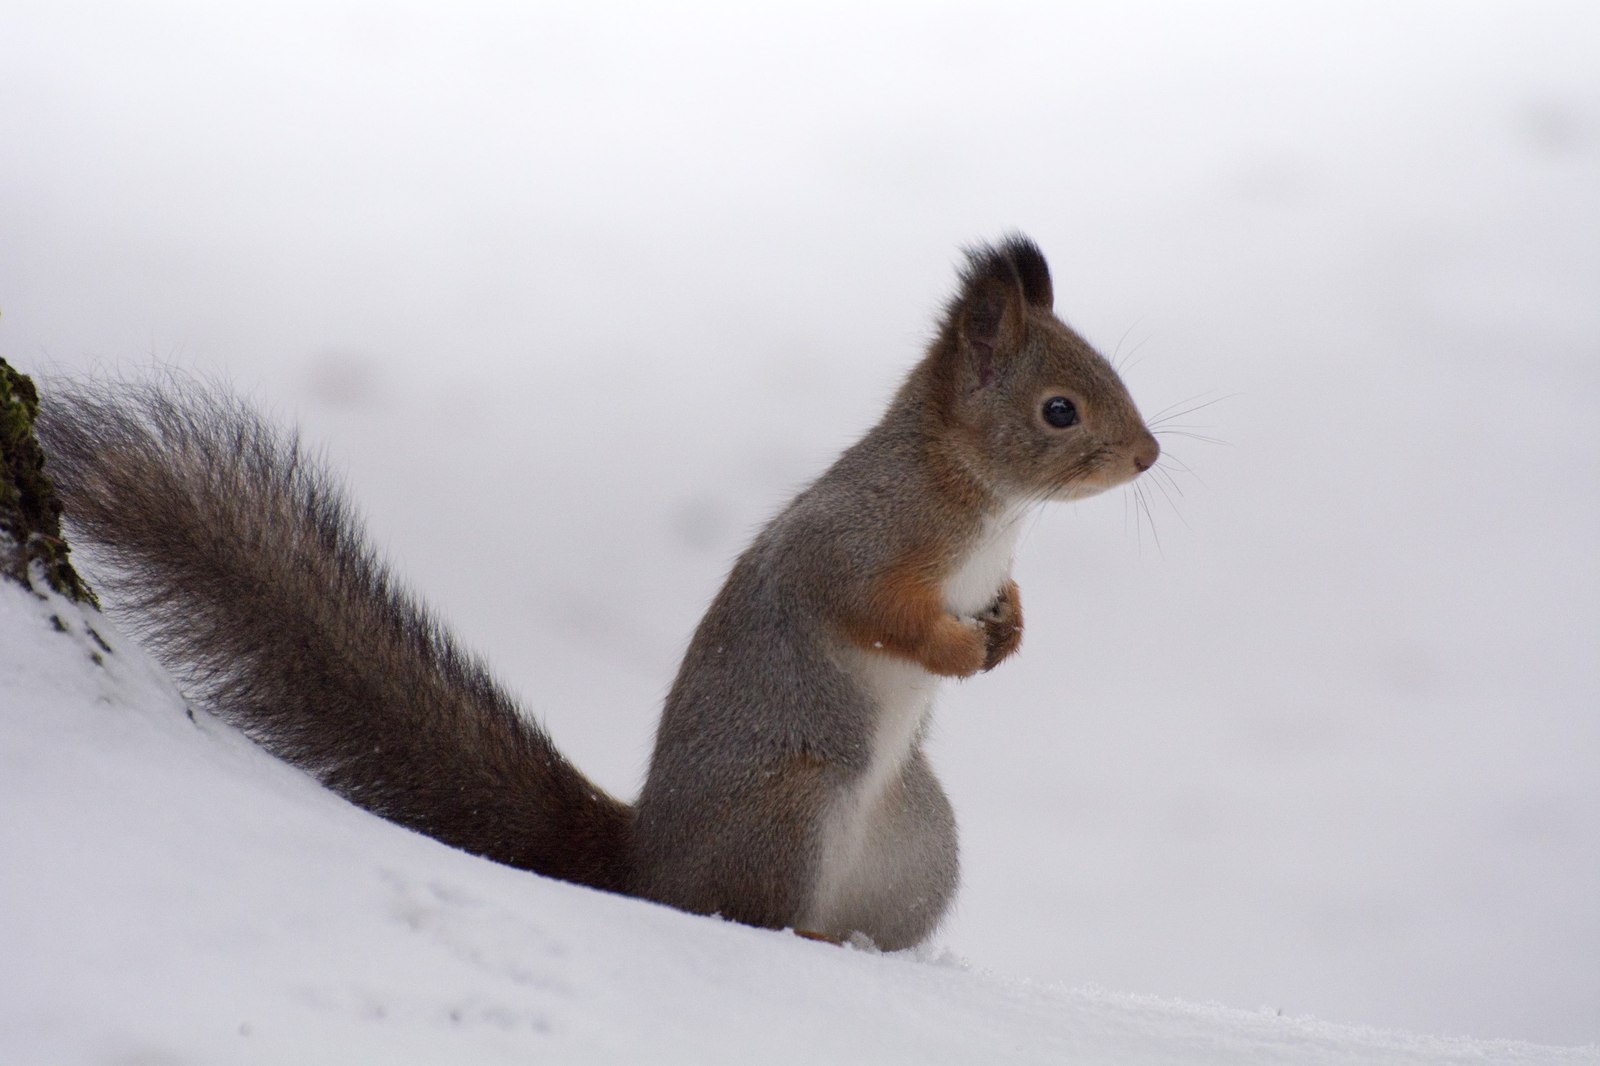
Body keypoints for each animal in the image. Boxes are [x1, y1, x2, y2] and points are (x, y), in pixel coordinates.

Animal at [37, 235, 1158, 947]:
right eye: (1060, 409)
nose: (1147, 455)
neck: (983, 507)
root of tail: (642, 864)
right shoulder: (853, 544)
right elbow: (874, 613)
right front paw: (959, 648)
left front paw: (1010, 629)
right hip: (787, 813)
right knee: (735, 912)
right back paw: (794, 936)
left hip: (924, 848)